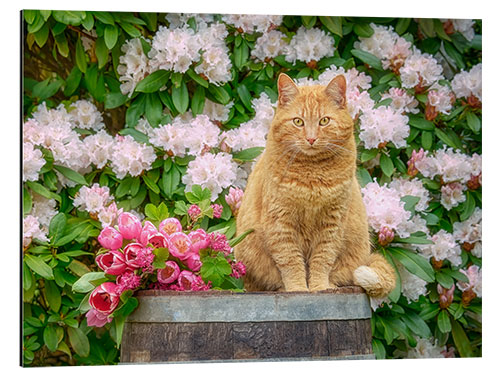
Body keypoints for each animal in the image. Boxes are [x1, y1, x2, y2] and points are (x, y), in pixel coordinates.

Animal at [234, 73, 394, 296]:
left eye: (324, 121)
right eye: (298, 121)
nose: (311, 138)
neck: (312, 173)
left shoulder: (332, 223)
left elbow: (322, 259)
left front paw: (319, 287)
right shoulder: (281, 222)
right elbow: (291, 262)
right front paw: (298, 289)